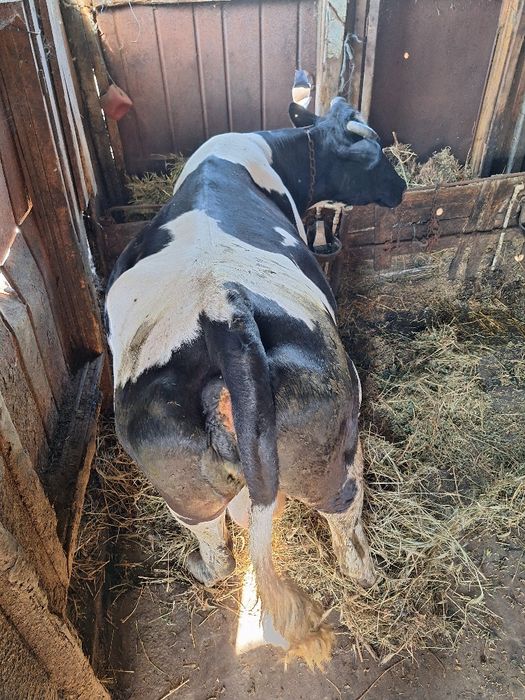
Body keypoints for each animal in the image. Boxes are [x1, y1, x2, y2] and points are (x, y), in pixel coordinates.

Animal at [105, 97, 406, 667]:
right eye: (376, 154)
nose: (401, 188)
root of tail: (222, 309)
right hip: (337, 443)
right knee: (344, 508)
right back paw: (365, 571)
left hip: (177, 477)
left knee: (213, 539)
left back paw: (199, 568)